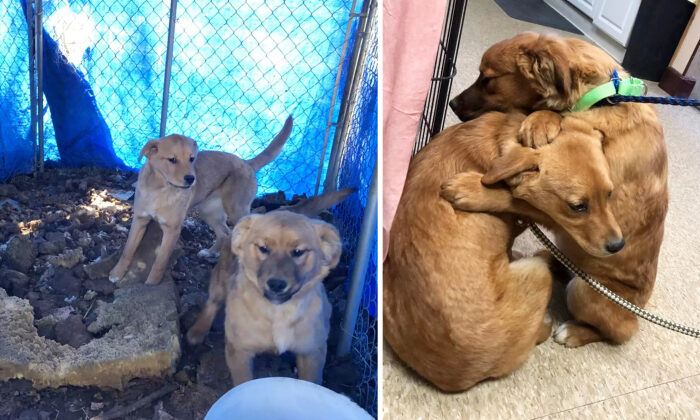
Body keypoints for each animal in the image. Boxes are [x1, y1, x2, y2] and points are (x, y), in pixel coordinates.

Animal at [108, 117, 292, 286]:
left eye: (191, 159)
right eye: (172, 159)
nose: (191, 179)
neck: (159, 190)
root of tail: (247, 163)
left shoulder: (172, 230)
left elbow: (160, 261)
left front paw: (151, 284)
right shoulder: (139, 220)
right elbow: (127, 251)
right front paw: (116, 273)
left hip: (236, 210)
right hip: (209, 212)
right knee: (224, 233)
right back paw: (210, 253)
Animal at [386, 110, 620, 390]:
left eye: (609, 194)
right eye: (577, 206)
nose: (618, 245)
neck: (499, 142)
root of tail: (463, 377)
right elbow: (517, 203)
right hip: (538, 272)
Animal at [448, 33, 668, 348]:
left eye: (488, 79)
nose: (452, 103)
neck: (603, 98)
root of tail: (638, 310)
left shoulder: (577, 210)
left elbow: (513, 197)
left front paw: (473, 190)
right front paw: (542, 120)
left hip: (584, 292)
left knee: (619, 332)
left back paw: (575, 332)